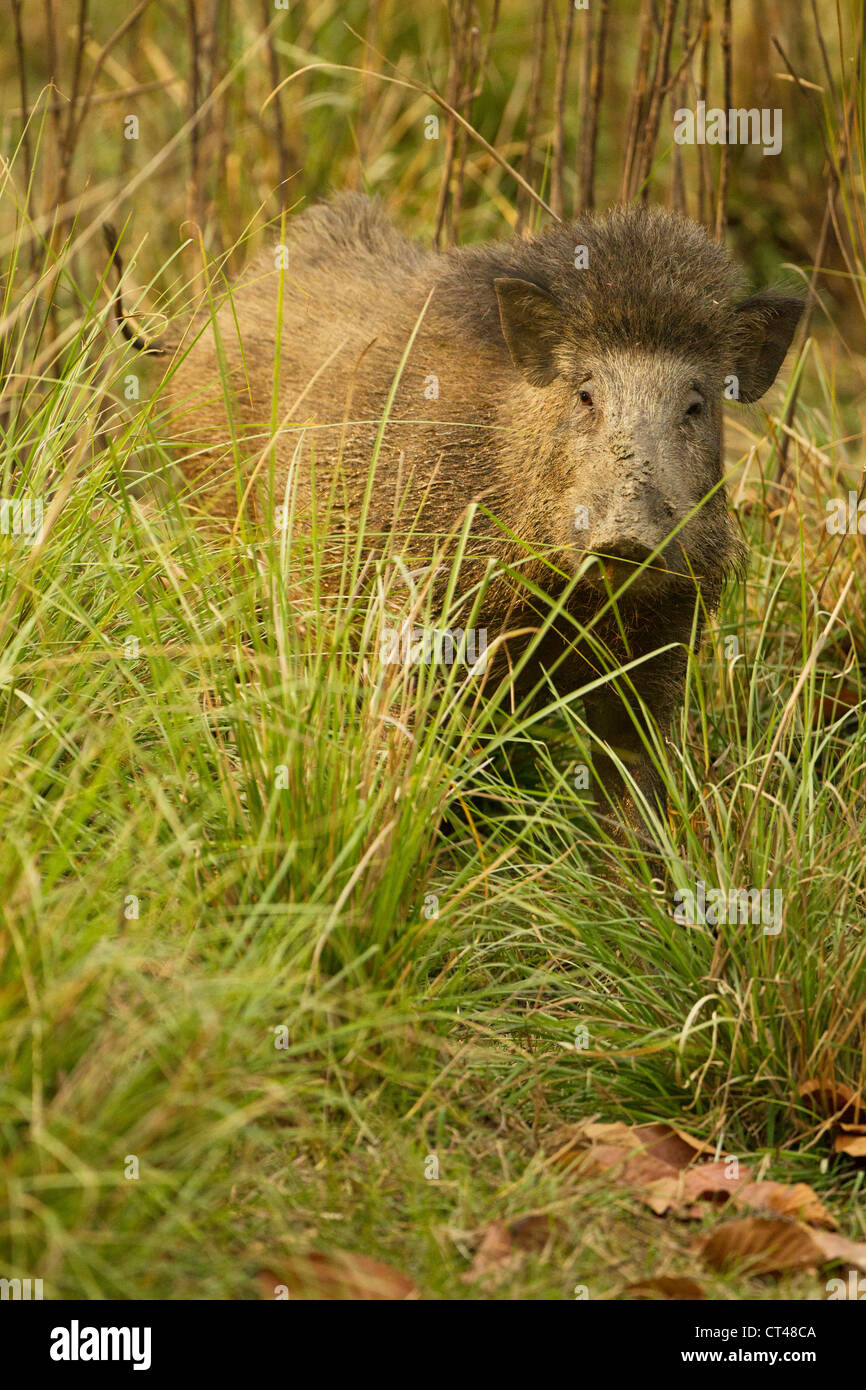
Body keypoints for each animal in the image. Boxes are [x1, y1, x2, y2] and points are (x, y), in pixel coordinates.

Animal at [126, 195, 803, 848]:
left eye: (695, 404)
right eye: (585, 394)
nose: (626, 539)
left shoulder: (662, 648)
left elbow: (635, 794)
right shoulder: (419, 615)